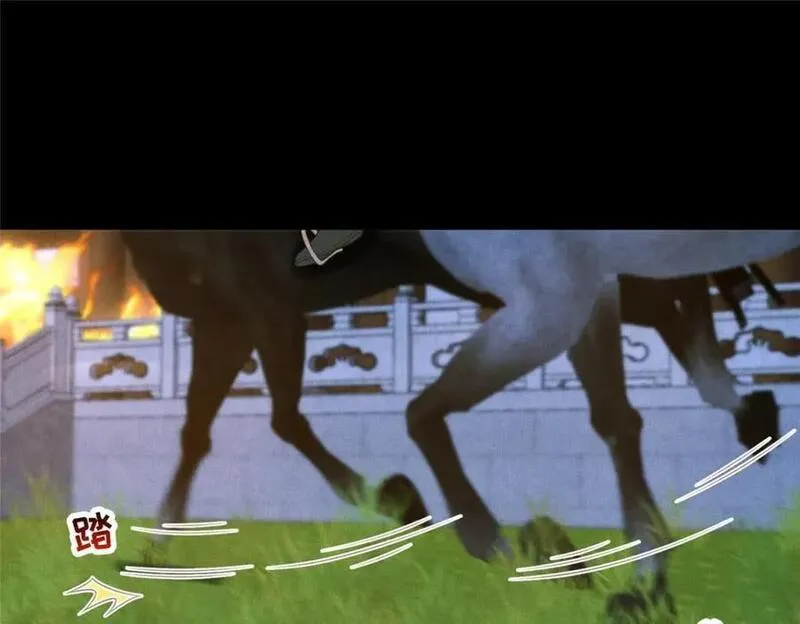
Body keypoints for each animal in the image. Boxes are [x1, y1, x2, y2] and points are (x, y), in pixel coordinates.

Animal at [121, 230, 786, 622]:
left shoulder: (264, 304)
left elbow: (283, 419)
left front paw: (401, 501)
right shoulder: (224, 317)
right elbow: (198, 433)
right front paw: (156, 552)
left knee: (671, 302)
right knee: (665, 308)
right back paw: (747, 414)